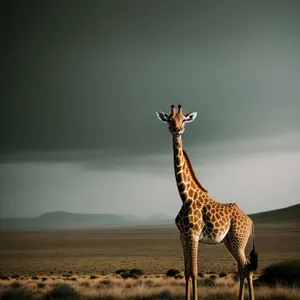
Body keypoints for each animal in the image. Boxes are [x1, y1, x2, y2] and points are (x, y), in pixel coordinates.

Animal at [156, 105, 256, 300]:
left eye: (184, 119)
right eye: (169, 119)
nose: (177, 130)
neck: (185, 196)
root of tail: (250, 221)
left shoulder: (194, 235)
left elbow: (194, 273)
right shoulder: (183, 237)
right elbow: (187, 273)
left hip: (239, 240)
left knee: (247, 269)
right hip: (230, 242)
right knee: (242, 269)